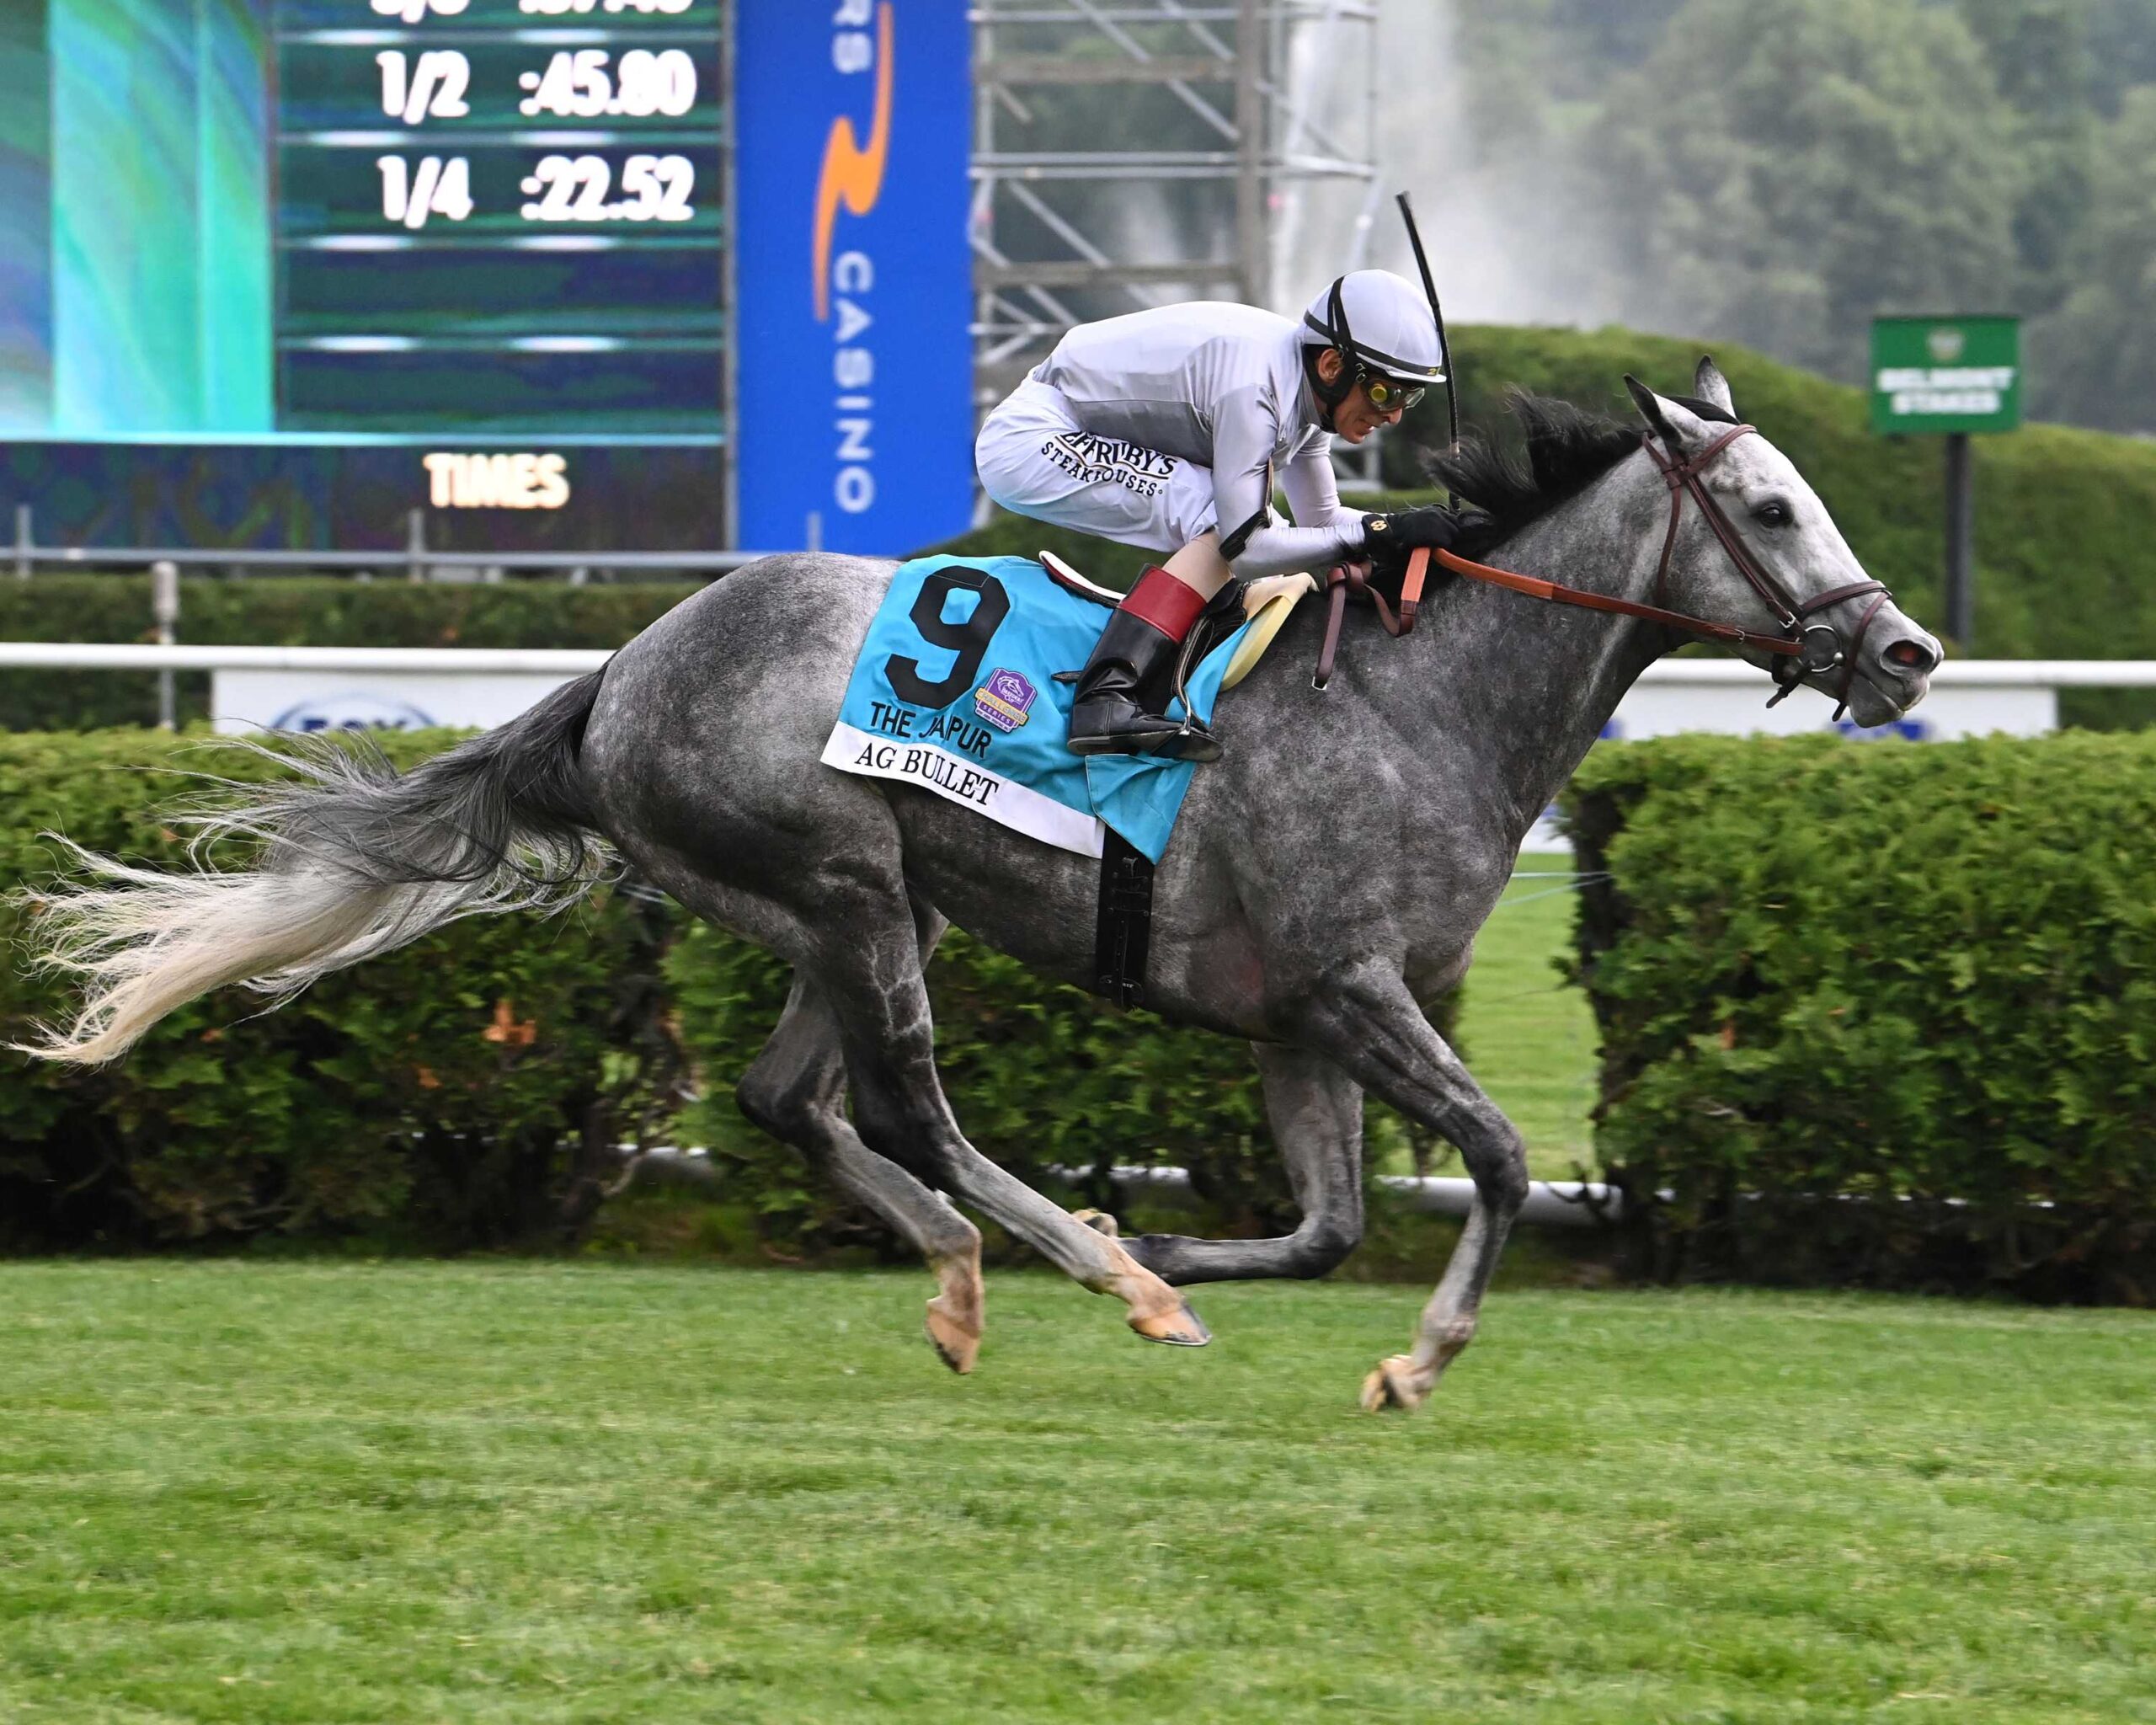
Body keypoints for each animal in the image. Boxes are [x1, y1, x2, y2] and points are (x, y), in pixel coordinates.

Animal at [17, 361, 1940, 1410]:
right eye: (1776, 511)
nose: (1906, 650)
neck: (1417, 698)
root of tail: (625, 666)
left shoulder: (1300, 1021)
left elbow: (1326, 1222)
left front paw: (1175, 1240)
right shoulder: (1351, 987)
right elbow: (1500, 1155)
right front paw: (1387, 1348)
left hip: (831, 908)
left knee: (794, 1101)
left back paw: (982, 1270)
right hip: (850, 885)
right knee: (905, 1106)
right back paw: (1080, 1268)